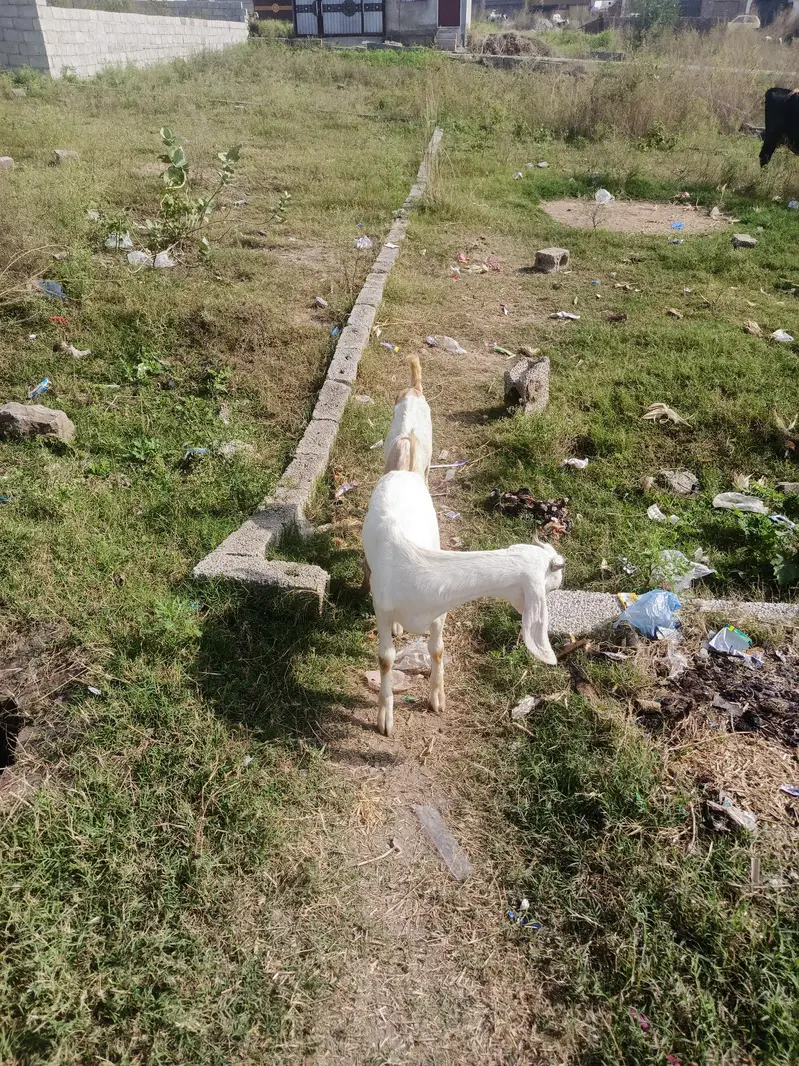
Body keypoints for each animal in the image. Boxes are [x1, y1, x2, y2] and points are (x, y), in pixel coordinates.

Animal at [362, 462, 565, 738]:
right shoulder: (382, 609)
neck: (418, 568)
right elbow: (385, 658)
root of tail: (404, 472)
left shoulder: (440, 610)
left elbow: (437, 649)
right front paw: (385, 718)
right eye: (552, 587)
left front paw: (437, 698)